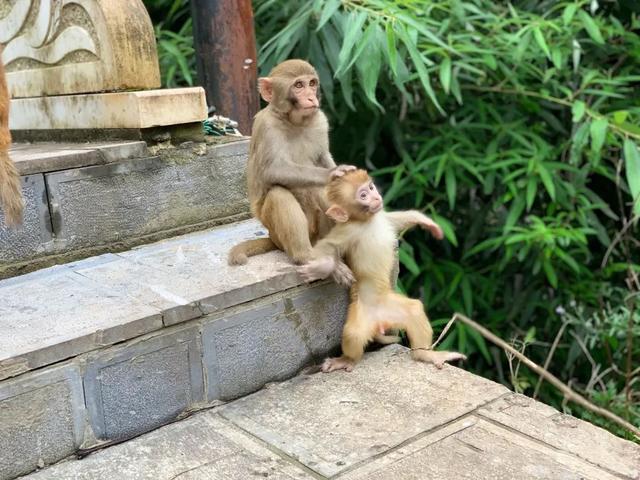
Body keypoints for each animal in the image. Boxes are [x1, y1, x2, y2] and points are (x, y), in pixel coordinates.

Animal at [296, 171, 464, 374]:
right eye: (363, 195)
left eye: (371, 187)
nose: (376, 197)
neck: (368, 221)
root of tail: (379, 323)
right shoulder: (347, 230)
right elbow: (325, 246)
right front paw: (323, 267)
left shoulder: (381, 217)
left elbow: (395, 221)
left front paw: (426, 221)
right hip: (361, 313)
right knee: (353, 334)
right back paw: (347, 359)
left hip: (392, 308)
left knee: (414, 310)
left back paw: (424, 355)